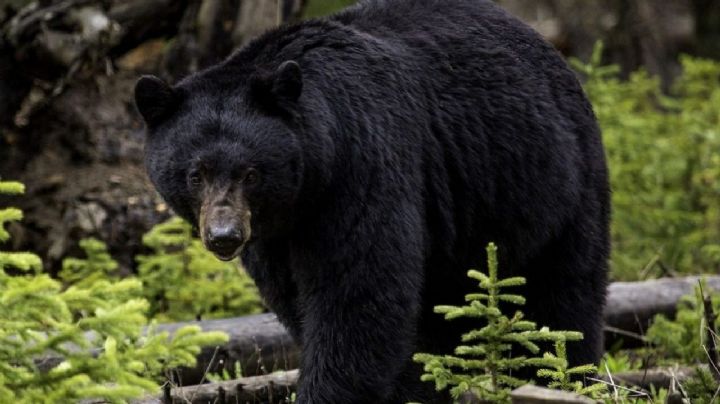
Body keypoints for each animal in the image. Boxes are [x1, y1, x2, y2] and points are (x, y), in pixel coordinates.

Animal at [134, 0, 610, 402]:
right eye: (195, 174)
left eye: (251, 172)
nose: (224, 236)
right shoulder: (274, 236)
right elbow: (297, 299)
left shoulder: (363, 167)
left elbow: (358, 294)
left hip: (554, 185)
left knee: (562, 298)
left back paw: (562, 376)